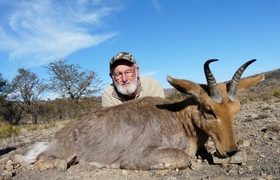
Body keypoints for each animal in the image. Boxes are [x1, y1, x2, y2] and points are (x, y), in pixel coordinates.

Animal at [24, 59, 264, 172]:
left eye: (236, 109)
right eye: (208, 108)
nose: (230, 150)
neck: (177, 118)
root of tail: (56, 138)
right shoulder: (138, 156)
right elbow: (183, 158)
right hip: (63, 156)